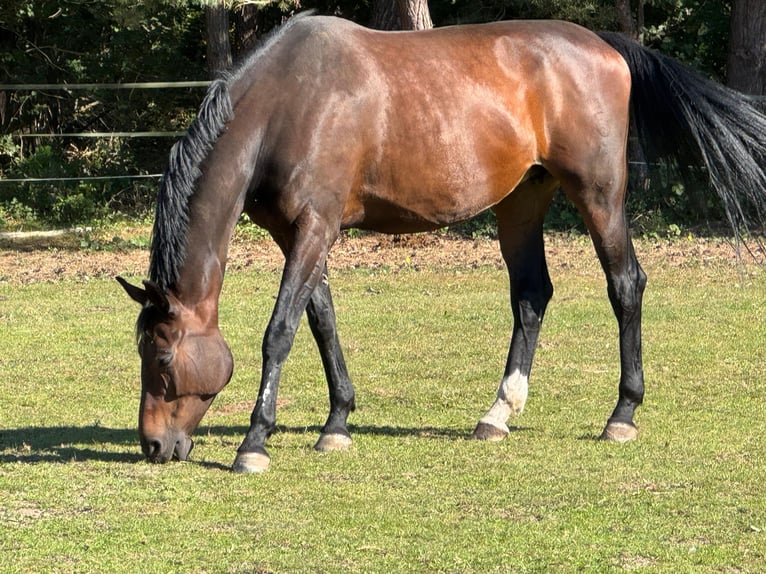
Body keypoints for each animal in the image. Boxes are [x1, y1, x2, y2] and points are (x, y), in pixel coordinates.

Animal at [118, 13, 766, 473]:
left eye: (162, 357)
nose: (153, 446)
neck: (287, 105)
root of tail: (605, 46)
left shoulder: (313, 229)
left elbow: (281, 330)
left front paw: (254, 442)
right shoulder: (297, 234)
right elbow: (322, 322)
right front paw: (337, 423)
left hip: (599, 195)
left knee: (625, 284)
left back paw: (622, 414)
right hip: (522, 201)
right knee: (532, 296)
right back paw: (498, 414)